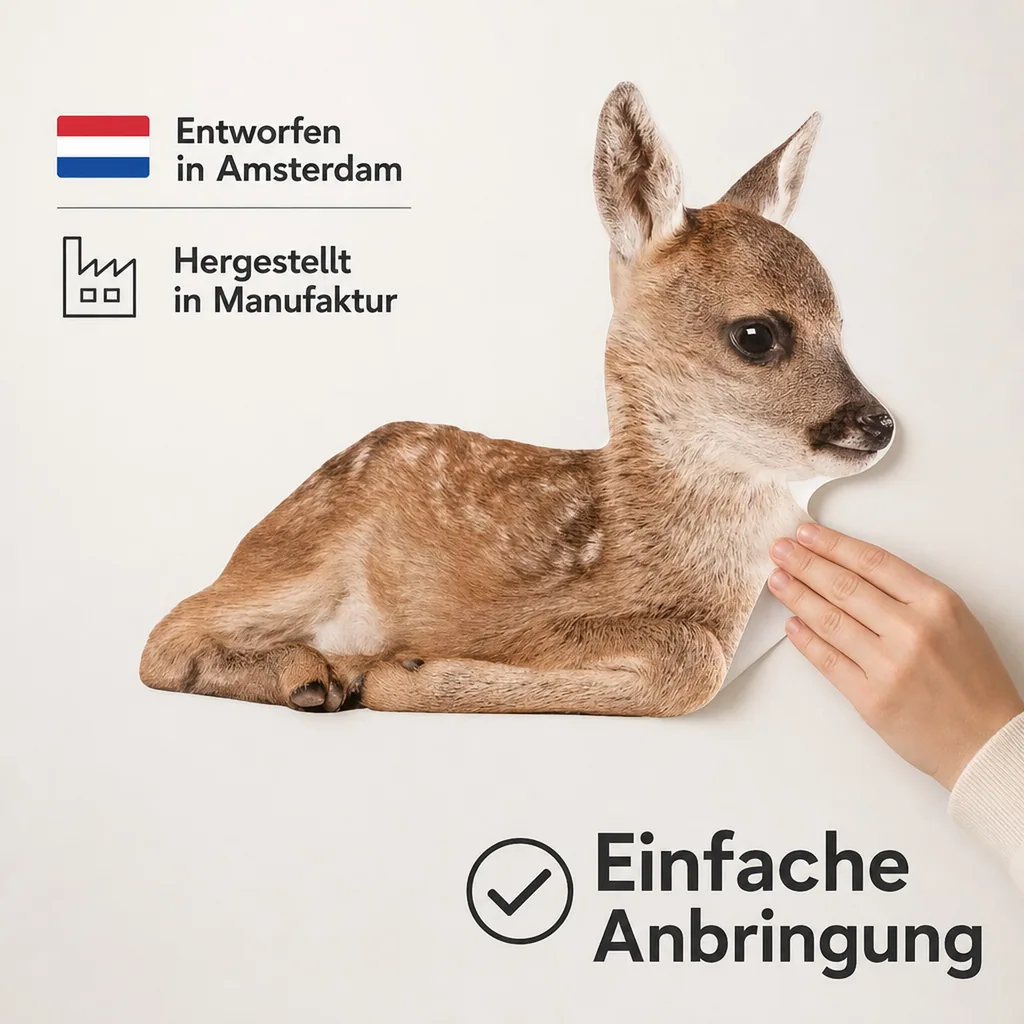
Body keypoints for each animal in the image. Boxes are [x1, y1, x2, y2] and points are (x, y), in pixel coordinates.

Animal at [140, 82, 893, 718]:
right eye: (755, 334)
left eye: (842, 325)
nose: (878, 423)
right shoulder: (521, 618)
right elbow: (693, 661)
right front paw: (400, 673)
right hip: (301, 558)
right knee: (164, 636)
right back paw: (313, 675)